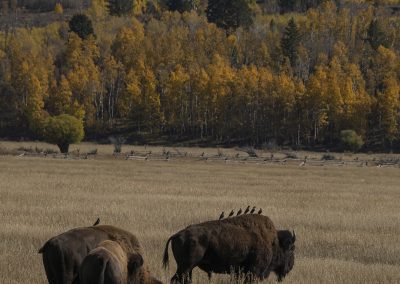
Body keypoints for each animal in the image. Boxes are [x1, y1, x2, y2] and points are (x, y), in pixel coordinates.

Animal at [161, 214, 296, 282]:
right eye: (292, 249)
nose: (290, 267)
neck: (274, 242)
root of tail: (178, 234)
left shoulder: (240, 272)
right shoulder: (253, 271)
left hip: (188, 269)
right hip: (185, 267)